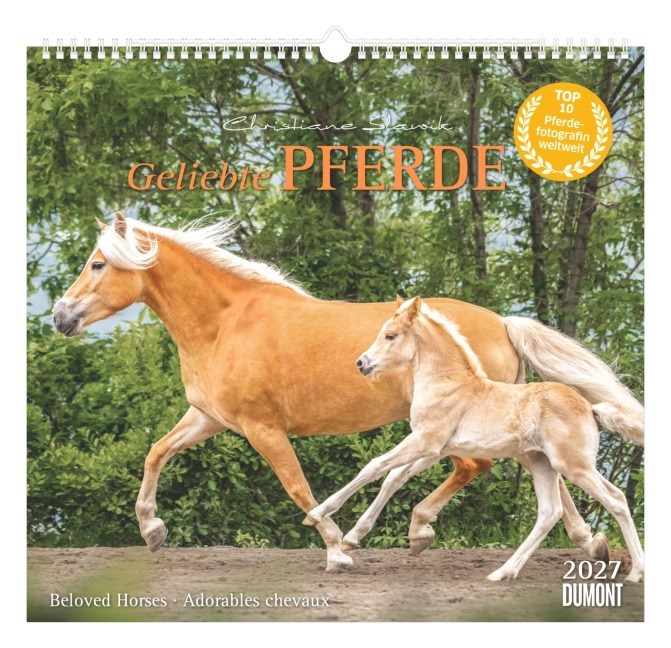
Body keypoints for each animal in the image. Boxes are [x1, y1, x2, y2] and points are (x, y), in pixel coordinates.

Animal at [304, 296, 645, 582]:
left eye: (390, 335)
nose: (361, 363)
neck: (447, 383)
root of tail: (589, 407)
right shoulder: (434, 449)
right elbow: (393, 477)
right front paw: (354, 537)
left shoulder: (424, 441)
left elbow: (374, 466)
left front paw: (317, 515)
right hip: (543, 464)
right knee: (549, 513)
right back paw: (503, 573)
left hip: (574, 466)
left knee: (615, 499)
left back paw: (636, 572)